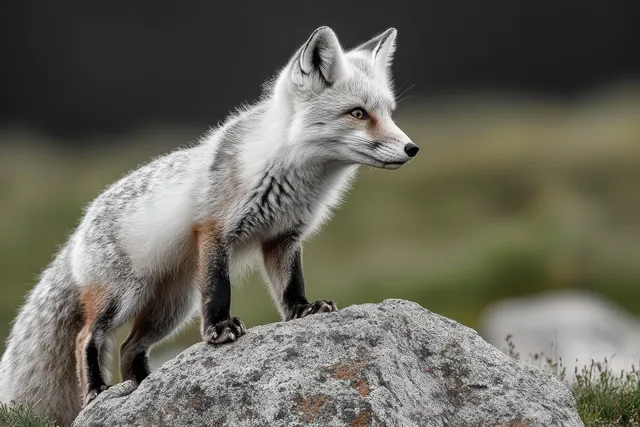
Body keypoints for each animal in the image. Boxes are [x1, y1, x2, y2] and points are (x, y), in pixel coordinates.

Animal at [0, 26, 418, 425]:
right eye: (358, 114)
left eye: (389, 113)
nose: (412, 148)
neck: (292, 174)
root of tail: (79, 227)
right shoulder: (214, 230)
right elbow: (220, 289)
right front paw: (219, 331)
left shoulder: (283, 236)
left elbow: (290, 285)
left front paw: (303, 310)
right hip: (124, 297)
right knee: (88, 338)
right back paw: (98, 390)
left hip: (171, 309)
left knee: (128, 348)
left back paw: (144, 386)